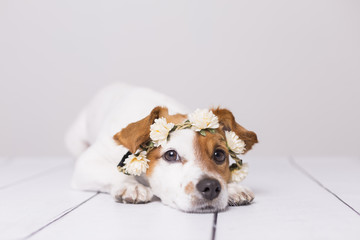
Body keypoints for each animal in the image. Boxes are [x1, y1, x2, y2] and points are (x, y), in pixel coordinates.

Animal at [66, 82, 258, 212]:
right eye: (171, 155)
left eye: (219, 155)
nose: (211, 187)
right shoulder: (88, 162)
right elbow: (114, 173)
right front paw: (131, 185)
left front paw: (233, 188)